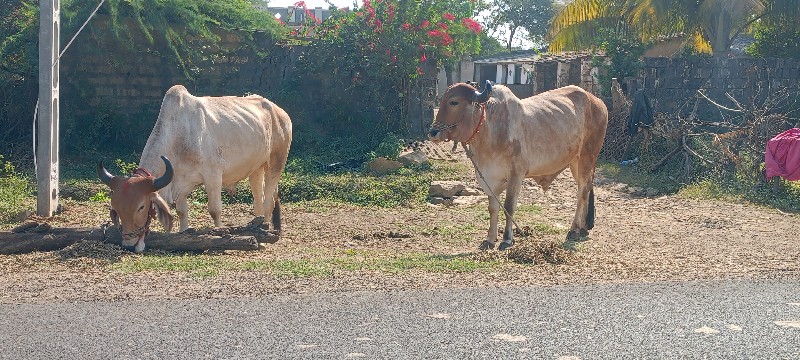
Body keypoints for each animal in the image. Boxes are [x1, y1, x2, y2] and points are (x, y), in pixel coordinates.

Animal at [432, 81, 608, 250]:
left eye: (454, 102)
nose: (432, 132)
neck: (490, 128)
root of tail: (597, 102)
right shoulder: (489, 178)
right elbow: (493, 208)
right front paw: (490, 239)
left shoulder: (516, 175)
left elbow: (509, 207)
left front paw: (507, 239)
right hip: (575, 162)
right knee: (586, 188)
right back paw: (583, 228)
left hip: (587, 157)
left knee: (582, 192)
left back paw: (575, 229)